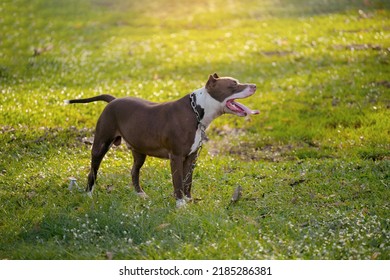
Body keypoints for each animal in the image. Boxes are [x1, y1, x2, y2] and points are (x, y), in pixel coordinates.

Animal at [65, 73, 258, 207]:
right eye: (234, 85)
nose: (255, 86)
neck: (196, 112)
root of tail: (113, 100)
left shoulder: (191, 157)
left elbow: (188, 181)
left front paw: (189, 200)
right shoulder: (176, 157)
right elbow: (178, 182)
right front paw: (181, 204)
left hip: (139, 152)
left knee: (134, 171)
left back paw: (140, 194)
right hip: (101, 144)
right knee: (93, 170)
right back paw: (88, 194)